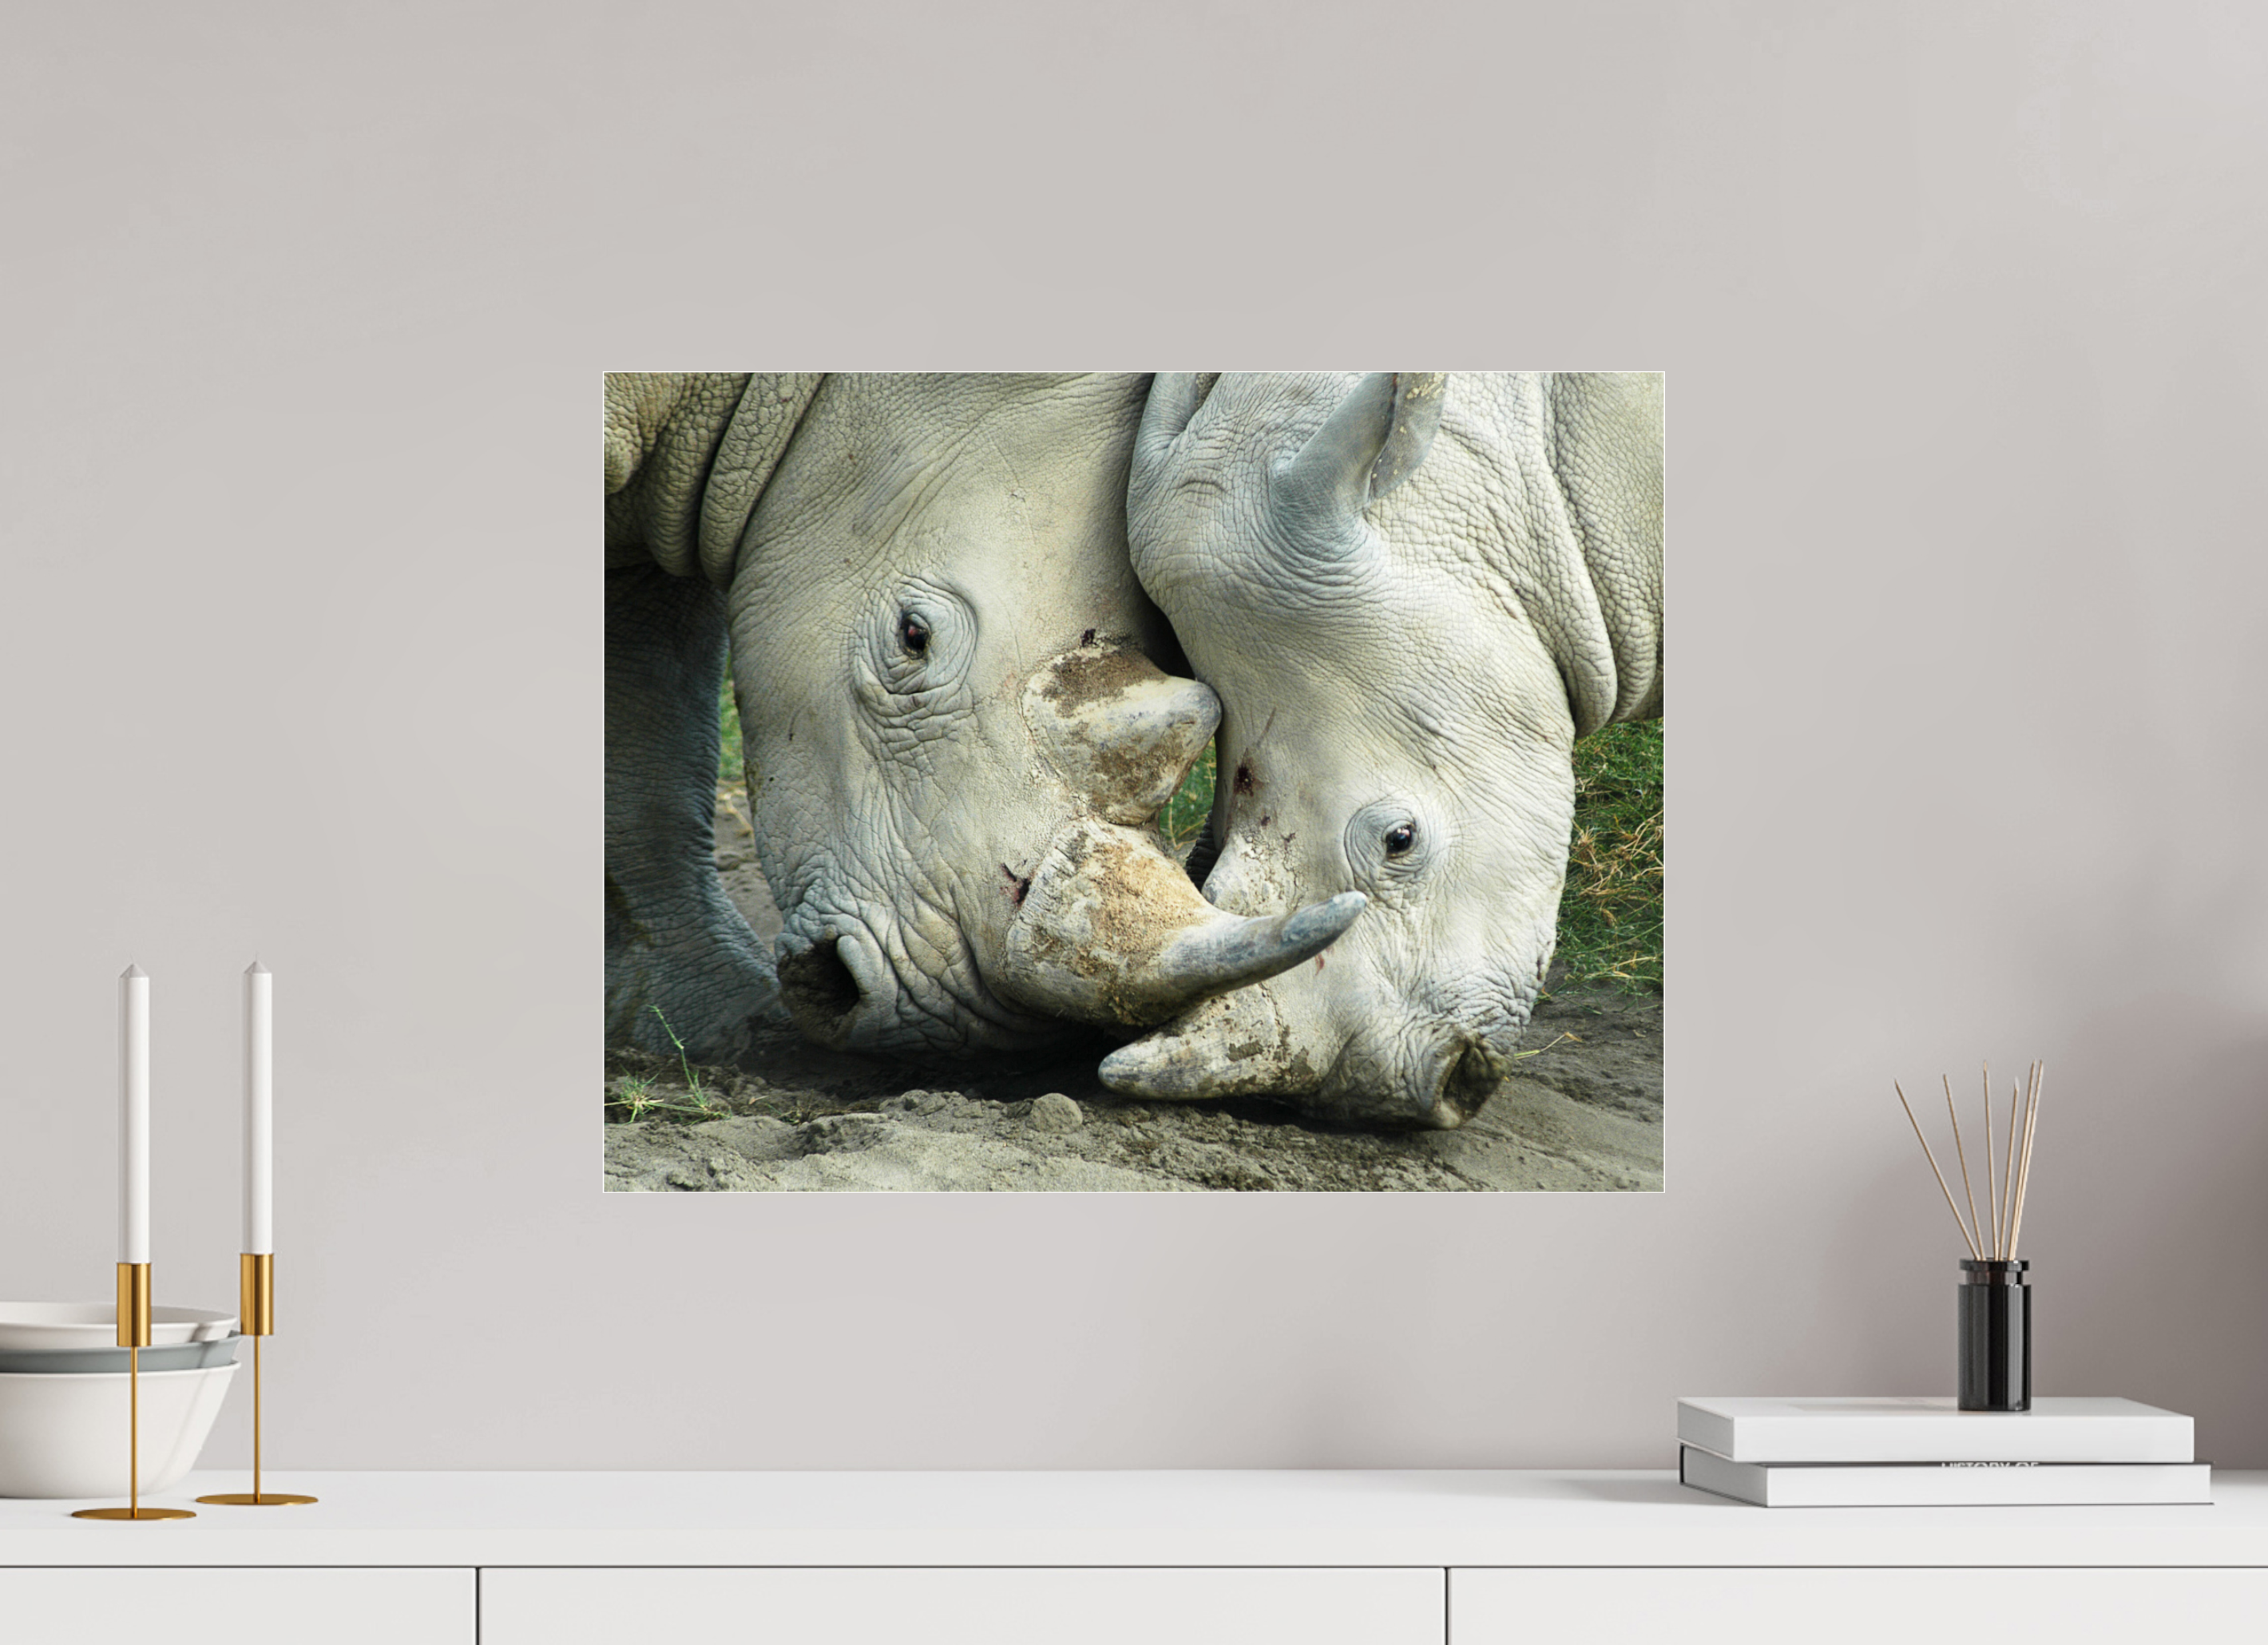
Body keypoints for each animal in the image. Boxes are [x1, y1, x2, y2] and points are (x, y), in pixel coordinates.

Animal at [605, 372, 1363, 1064]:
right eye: (913, 636)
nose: (959, 1024)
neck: (776, 390)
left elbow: (645, 709)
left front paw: (710, 1030)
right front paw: (715, 1031)